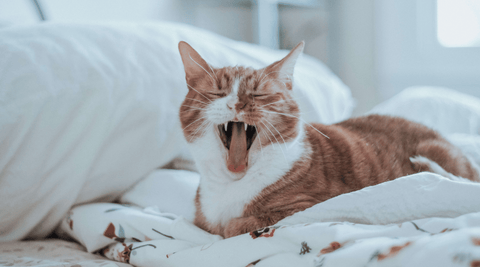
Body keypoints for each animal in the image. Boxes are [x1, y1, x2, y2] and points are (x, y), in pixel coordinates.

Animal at [176, 40, 480, 239]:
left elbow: (234, 226)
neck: (231, 184)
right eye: (217, 93)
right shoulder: (199, 219)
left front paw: (230, 225)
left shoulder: (314, 206)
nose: (237, 104)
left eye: (259, 94)